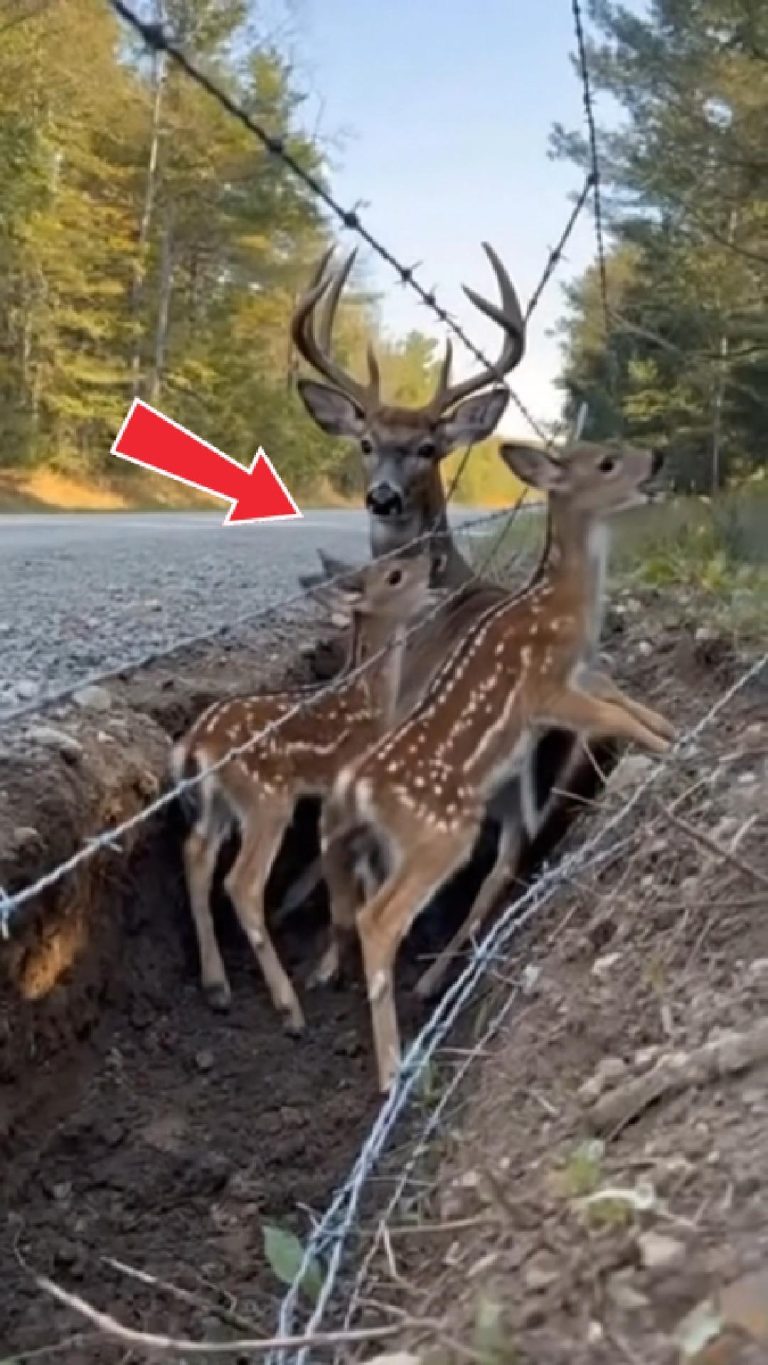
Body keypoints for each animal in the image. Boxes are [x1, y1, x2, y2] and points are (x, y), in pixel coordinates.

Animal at [170, 551, 435, 1036]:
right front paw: (331, 967)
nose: (431, 556)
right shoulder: (344, 787)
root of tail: (195, 742)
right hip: (267, 800)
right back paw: (289, 1008)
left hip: (218, 804)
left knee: (195, 856)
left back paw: (217, 986)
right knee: (241, 882)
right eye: (395, 574)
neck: (368, 701)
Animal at [311, 438, 674, 1093]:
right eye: (608, 462)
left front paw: (673, 729)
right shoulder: (549, 689)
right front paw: (673, 748)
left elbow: (622, 697)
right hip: (442, 833)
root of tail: (360, 785)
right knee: (381, 916)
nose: (657, 456)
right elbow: (614, 713)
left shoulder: (581, 675)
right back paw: (395, 1065)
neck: (564, 606)